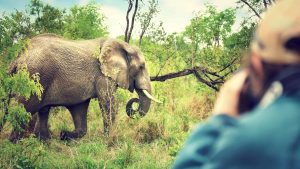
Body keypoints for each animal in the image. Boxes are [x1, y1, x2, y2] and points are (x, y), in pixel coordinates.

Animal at [8, 33, 161, 142]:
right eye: (141, 67)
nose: (135, 100)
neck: (123, 45)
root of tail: (19, 56)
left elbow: (80, 110)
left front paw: (64, 135)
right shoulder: (102, 74)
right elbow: (107, 102)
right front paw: (108, 139)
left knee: (43, 111)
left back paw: (44, 142)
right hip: (34, 77)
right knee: (25, 109)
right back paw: (15, 143)